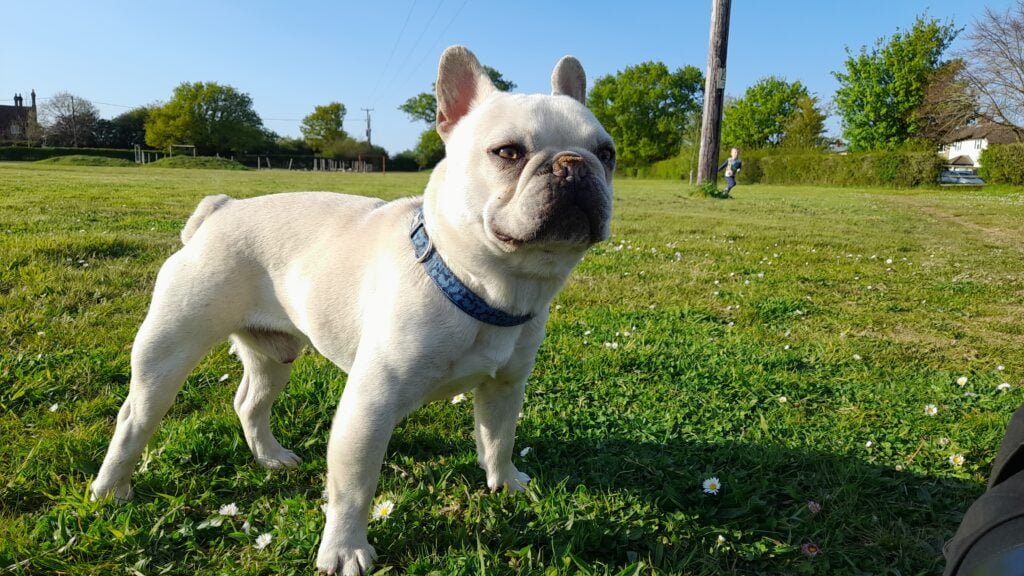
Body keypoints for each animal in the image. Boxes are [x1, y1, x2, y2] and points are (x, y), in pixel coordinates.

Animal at [91, 46, 615, 575]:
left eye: (607, 153)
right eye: (508, 153)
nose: (574, 164)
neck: (483, 285)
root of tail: (221, 209)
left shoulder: (504, 387)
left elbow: (498, 439)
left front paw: (505, 482)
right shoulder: (370, 406)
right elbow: (354, 486)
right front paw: (344, 549)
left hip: (273, 356)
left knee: (249, 402)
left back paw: (271, 457)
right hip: (169, 350)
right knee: (134, 418)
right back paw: (110, 489)